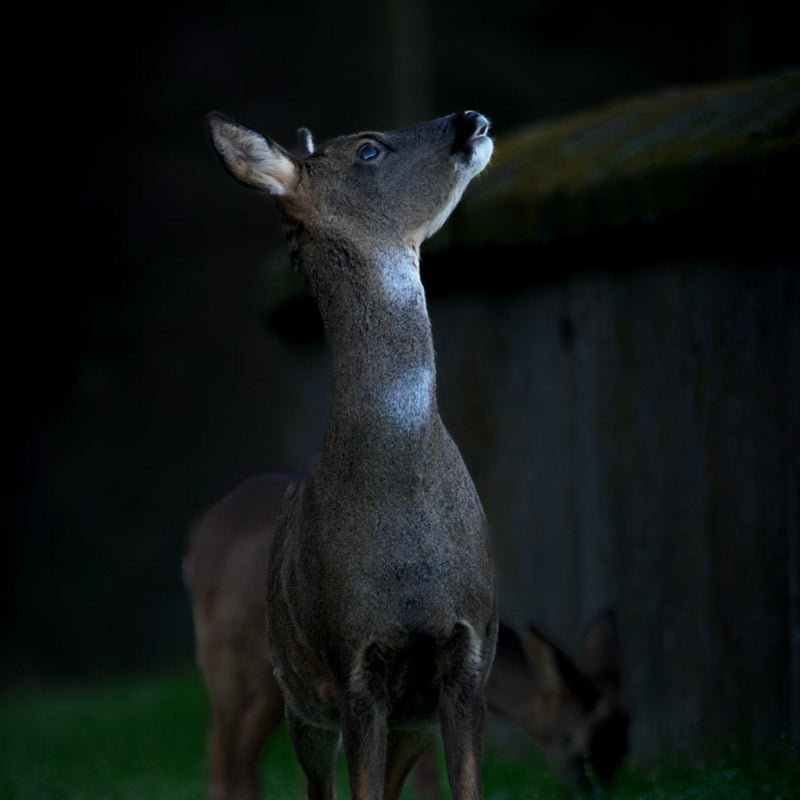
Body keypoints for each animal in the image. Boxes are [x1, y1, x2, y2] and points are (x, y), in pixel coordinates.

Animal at [184, 472, 630, 800]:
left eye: (624, 739)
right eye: (578, 740)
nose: (601, 790)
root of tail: (199, 530)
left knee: (239, 750)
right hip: (224, 655)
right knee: (222, 747)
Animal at [204, 110, 499, 800]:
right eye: (369, 149)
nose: (471, 119)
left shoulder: (469, 656)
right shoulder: (353, 668)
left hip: (406, 718)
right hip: (296, 698)